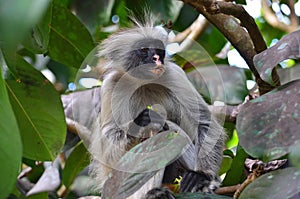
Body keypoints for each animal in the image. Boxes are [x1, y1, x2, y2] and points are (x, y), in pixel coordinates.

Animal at [88, 14, 226, 198]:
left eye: (159, 52)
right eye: (144, 50)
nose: (156, 59)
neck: (142, 82)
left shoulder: (174, 75)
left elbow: (205, 123)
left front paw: (203, 176)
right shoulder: (112, 84)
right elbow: (109, 148)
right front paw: (141, 121)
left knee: (169, 131)